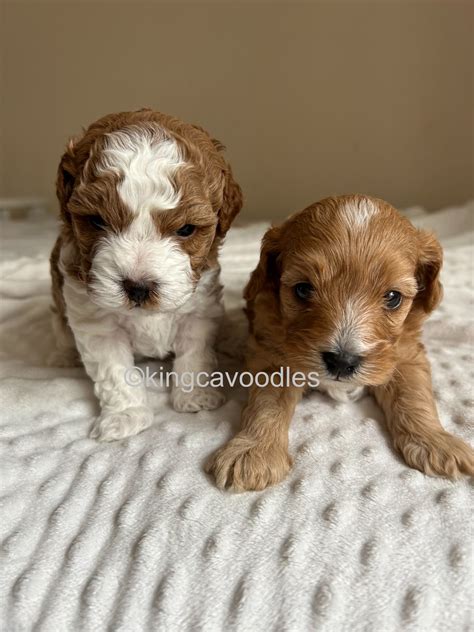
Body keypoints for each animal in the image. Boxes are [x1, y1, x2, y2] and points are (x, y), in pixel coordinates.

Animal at [51, 108, 243, 442]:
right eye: (97, 221)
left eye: (186, 229)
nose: (137, 287)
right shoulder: (98, 325)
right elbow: (115, 372)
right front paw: (125, 415)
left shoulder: (198, 311)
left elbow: (195, 355)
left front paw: (195, 397)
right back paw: (62, 355)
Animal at [206, 195, 474, 492]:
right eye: (303, 289)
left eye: (393, 297)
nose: (342, 362)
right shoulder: (272, 353)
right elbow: (267, 403)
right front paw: (253, 451)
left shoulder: (405, 353)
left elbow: (414, 394)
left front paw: (436, 441)